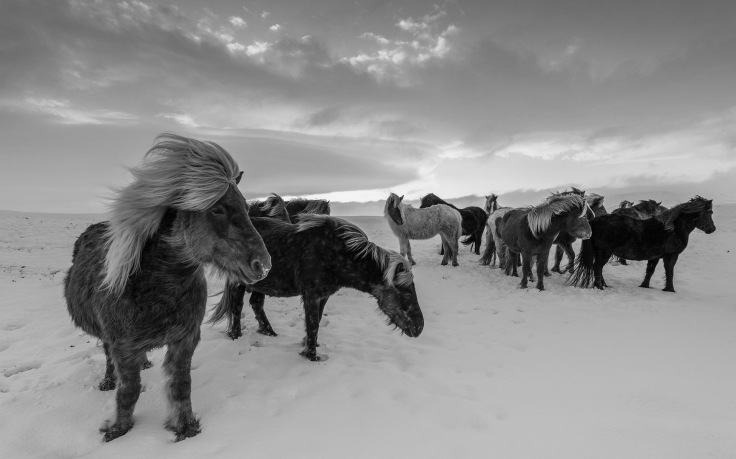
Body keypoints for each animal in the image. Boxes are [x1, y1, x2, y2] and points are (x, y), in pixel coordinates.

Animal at [63, 134, 271, 442]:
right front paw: (118, 429)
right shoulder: (123, 347)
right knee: (108, 356)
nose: (263, 265)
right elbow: (129, 390)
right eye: (217, 208)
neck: (157, 288)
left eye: (246, 208)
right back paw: (108, 380)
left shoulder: (185, 340)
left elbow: (181, 385)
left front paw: (185, 427)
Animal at [209, 215, 424, 361]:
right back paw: (236, 335)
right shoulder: (311, 295)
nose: (419, 327)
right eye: (405, 291)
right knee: (237, 308)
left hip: (261, 284)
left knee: (256, 304)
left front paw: (309, 345)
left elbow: (317, 321)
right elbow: (312, 324)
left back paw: (269, 333)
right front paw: (311, 356)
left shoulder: (323, 296)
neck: (336, 253)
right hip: (238, 284)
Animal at [568, 196, 715, 292]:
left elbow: (650, 271)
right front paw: (670, 289)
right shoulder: (671, 256)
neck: (672, 228)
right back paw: (599, 287)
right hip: (604, 253)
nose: (712, 229)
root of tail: (593, 221)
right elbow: (670, 272)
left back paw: (604, 285)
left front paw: (645, 285)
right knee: (597, 267)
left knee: (597, 268)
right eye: (710, 212)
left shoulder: (655, 256)